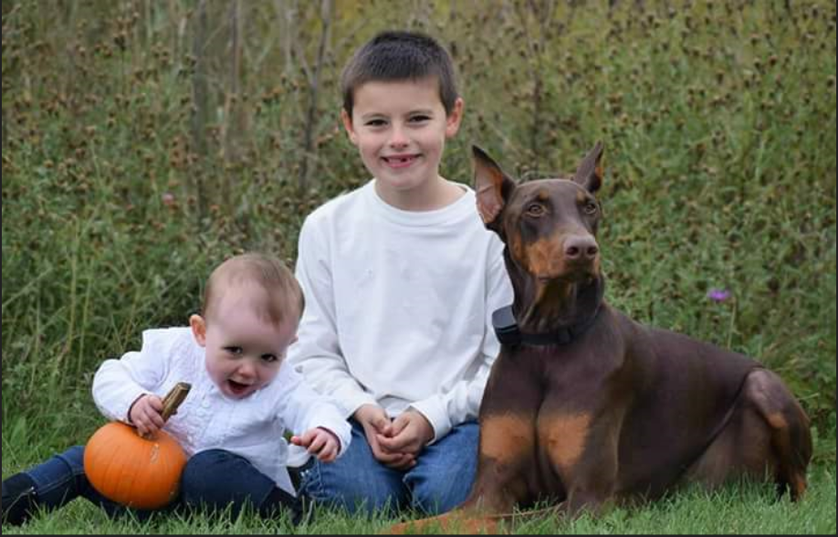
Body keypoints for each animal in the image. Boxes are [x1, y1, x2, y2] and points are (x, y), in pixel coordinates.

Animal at [392, 141, 812, 532]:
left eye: (590, 207)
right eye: (534, 209)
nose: (583, 249)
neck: (548, 345)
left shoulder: (585, 501)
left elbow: (500, 522)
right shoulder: (489, 490)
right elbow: (423, 522)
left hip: (764, 385)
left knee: (801, 486)